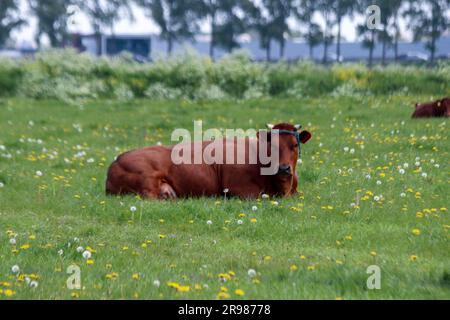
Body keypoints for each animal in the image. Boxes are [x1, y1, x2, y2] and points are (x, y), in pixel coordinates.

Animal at [106, 124, 312, 199]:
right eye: (272, 146)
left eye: (295, 145)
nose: (284, 168)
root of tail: (116, 161)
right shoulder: (240, 189)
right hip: (146, 177)